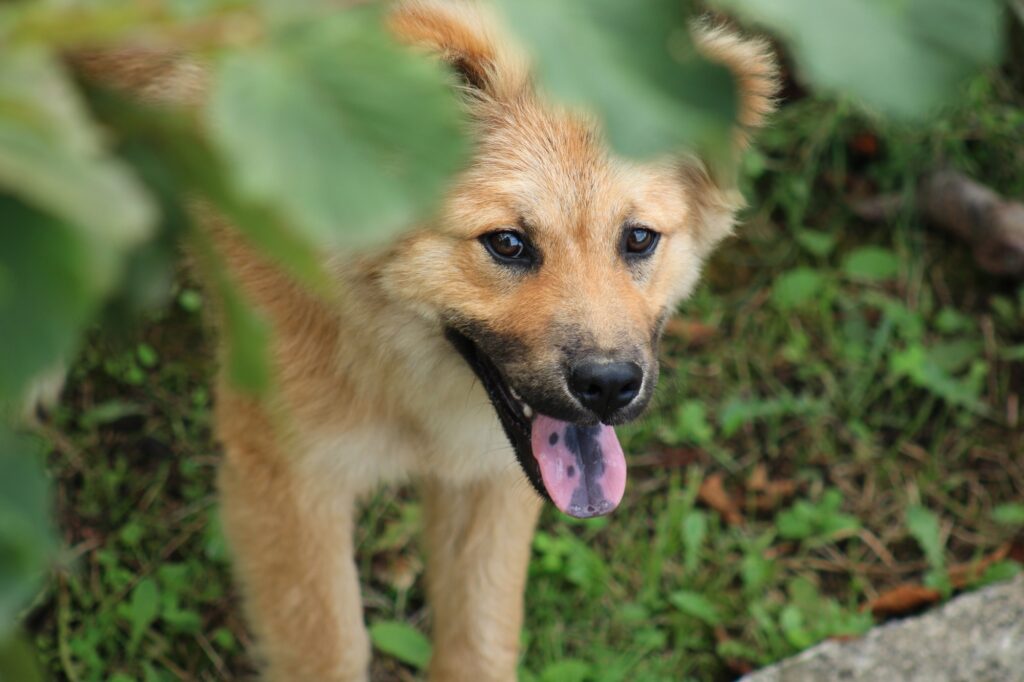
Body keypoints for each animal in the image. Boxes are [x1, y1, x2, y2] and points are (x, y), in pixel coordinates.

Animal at [74, 2, 774, 675]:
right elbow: (329, 651)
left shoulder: (487, 474)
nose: (609, 386)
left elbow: (478, 646)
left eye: (638, 239)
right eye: (507, 243)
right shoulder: (289, 481)